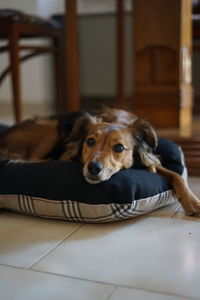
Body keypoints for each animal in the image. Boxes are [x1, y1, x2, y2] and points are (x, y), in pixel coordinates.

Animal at [0, 106, 199, 217]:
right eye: (89, 141)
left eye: (119, 147)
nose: (93, 168)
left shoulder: (149, 162)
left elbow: (175, 175)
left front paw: (192, 202)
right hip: (49, 130)